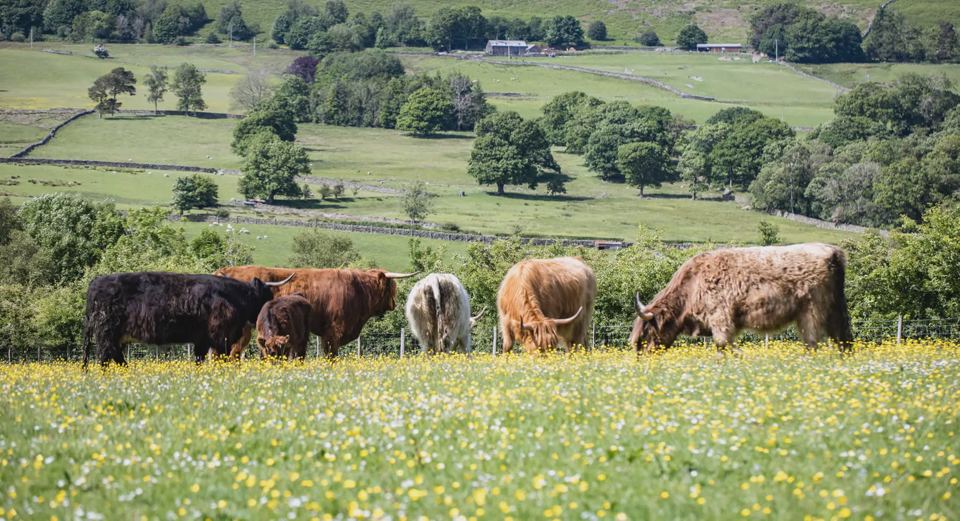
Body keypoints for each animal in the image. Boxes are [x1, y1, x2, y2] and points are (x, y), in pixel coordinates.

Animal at [82, 272, 293, 366]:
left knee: (113, 357)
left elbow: (199, 360)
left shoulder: (202, 341)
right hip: (106, 334)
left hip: (115, 337)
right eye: (267, 295)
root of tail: (96, 282)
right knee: (105, 357)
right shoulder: (220, 339)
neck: (233, 296)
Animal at [629, 243, 853, 355]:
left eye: (646, 332)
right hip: (833, 310)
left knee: (812, 343)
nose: (643, 356)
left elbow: (722, 345)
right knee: (843, 339)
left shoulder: (721, 319)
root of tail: (832, 252)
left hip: (811, 312)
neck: (692, 285)